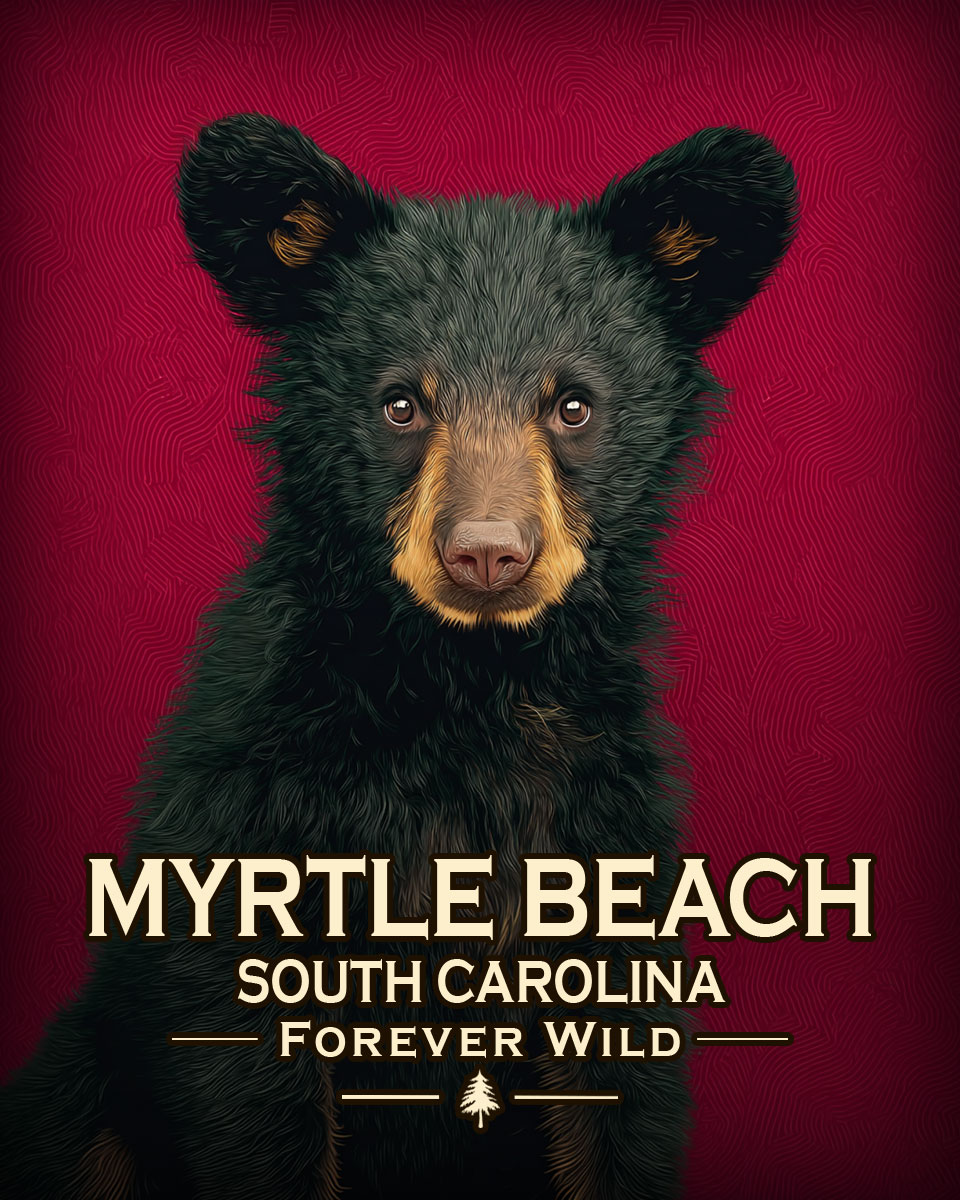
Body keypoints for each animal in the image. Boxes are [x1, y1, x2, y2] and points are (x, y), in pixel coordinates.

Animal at [0, 113, 796, 1200]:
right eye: (400, 405)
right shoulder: (253, 822)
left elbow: (618, 1101)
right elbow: (253, 1091)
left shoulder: (603, 831)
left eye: (574, 406)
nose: (488, 554)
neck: (468, 690)